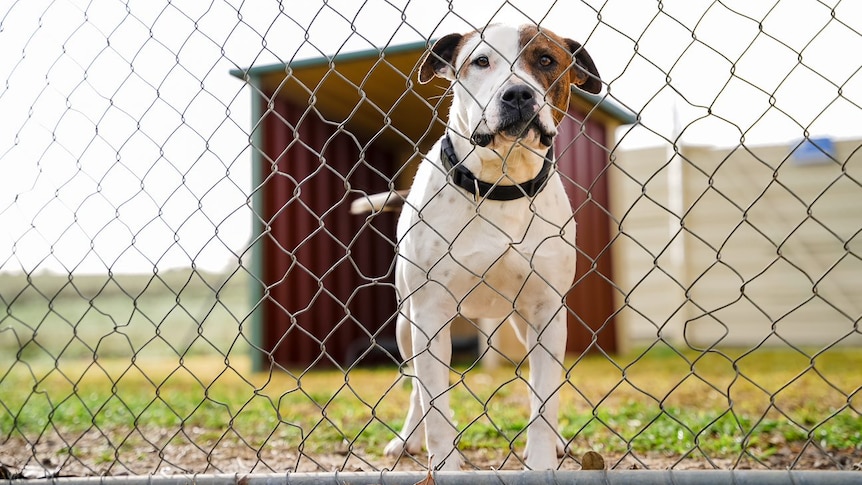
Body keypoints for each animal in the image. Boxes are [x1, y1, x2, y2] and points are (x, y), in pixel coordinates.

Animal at [358, 23, 600, 468]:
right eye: (481, 61)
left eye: (546, 60)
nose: (517, 94)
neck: (501, 183)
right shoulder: (430, 315)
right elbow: (436, 409)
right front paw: (444, 465)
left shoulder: (547, 313)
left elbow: (544, 402)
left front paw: (542, 462)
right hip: (406, 324)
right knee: (416, 386)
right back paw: (407, 439)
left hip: (524, 323)